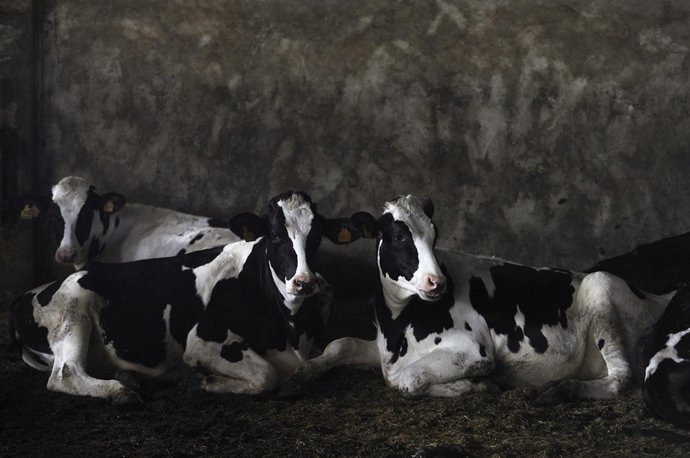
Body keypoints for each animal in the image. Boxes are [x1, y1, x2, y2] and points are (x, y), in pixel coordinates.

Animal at [8, 191, 361, 403]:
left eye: (317, 238)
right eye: (275, 236)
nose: (304, 282)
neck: (291, 329)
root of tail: (29, 295)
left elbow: (335, 348)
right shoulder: (203, 341)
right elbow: (266, 375)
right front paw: (201, 382)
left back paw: (128, 377)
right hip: (73, 309)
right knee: (65, 373)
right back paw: (120, 391)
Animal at [285, 195, 672, 402]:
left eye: (435, 235)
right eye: (398, 236)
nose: (437, 282)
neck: (398, 325)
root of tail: (660, 297)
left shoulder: (473, 350)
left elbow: (406, 380)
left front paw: (475, 385)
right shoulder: (382, 347)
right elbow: (340, 344)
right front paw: (299, 375)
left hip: (602, 285)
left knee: (621, 378)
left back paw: (561, 390)